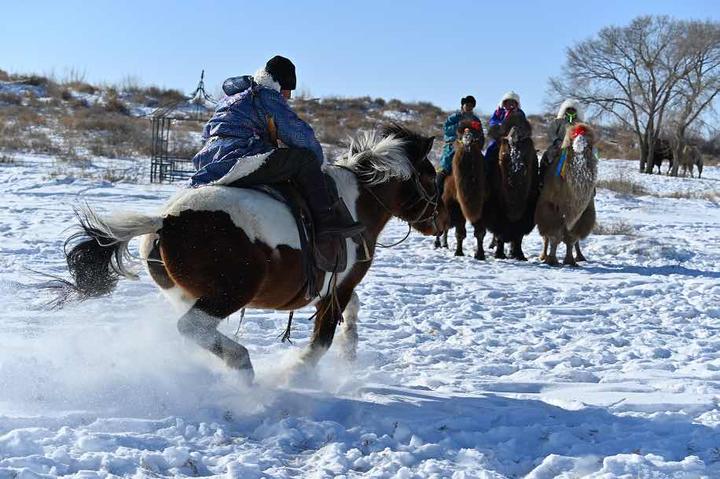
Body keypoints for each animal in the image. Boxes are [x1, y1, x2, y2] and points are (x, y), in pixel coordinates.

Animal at [54, 125, 438, 380]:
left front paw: (350, 351)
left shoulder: (337, 287)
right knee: (192, 328)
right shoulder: (340, 286)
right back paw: (242, 363)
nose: (440, 221)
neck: (355, 205)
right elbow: (323, 337)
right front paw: (298, 371)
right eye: (432, 177)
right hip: (229, 293)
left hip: (187, 294)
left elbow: (349, 313)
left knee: (196, 332)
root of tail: (166, 221)